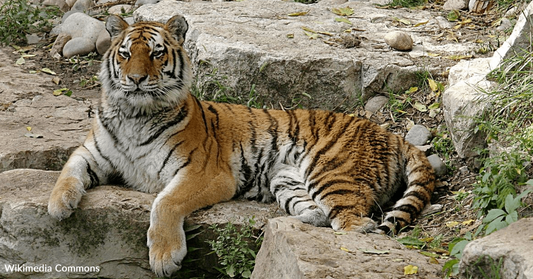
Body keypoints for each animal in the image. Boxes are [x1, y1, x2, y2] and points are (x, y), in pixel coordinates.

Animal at [47, 13, 434, 278]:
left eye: (156, 54)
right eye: (126, 54)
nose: (137, 80)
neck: (135, 114)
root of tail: (394, 134)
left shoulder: (205, 173)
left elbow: (165, 203)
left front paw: (164, 256)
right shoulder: (92, 152)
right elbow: (68, 170)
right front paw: (58, 205)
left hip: (330, 172)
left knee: (357, 224)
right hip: (285, 179)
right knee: (320, 213)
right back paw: (293, 221)